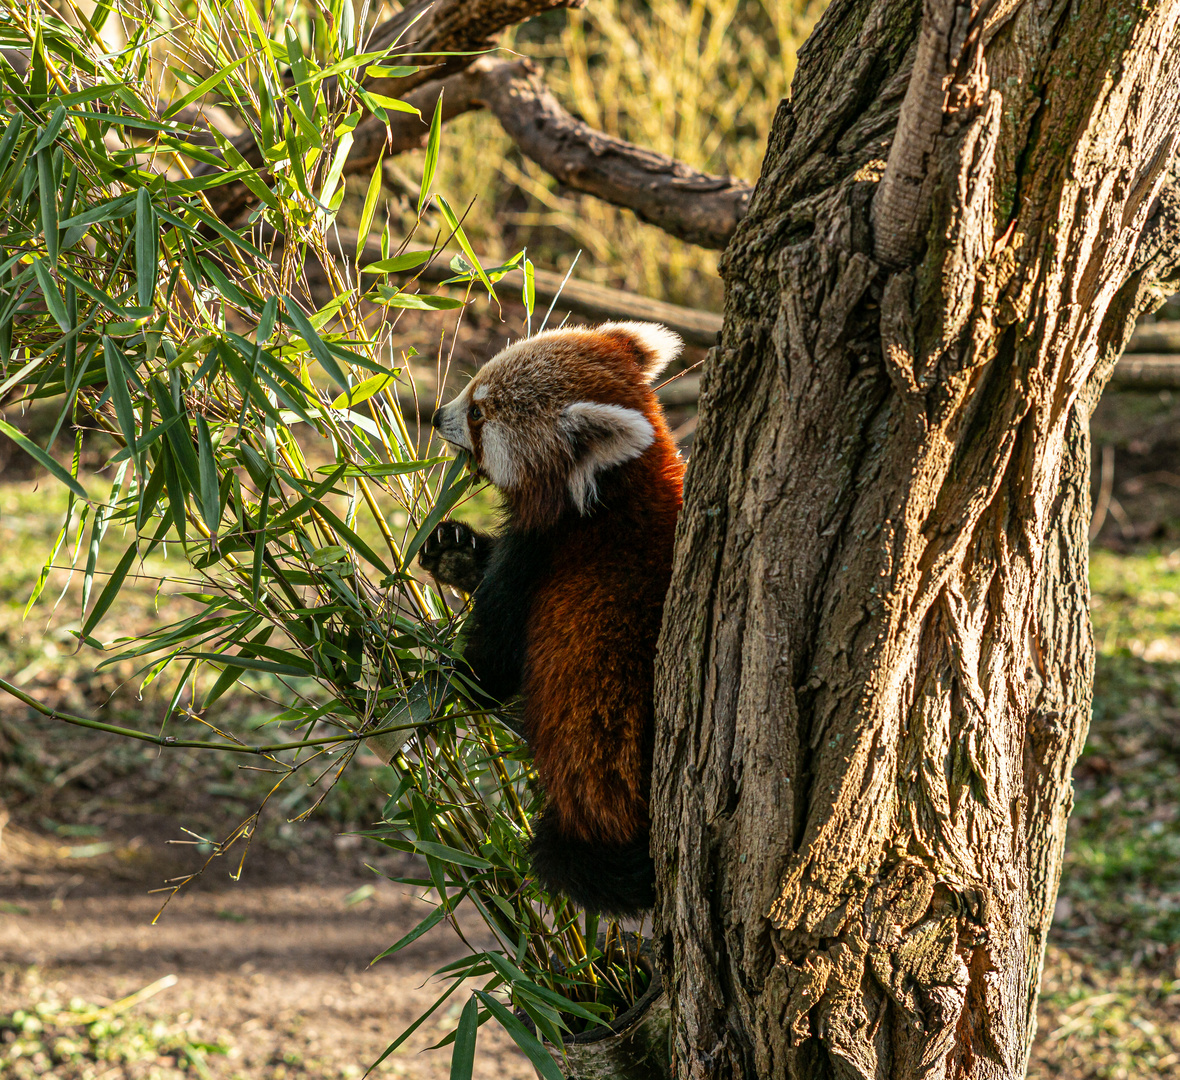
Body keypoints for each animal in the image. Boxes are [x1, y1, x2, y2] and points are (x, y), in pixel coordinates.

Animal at [422, 323, 684, 920]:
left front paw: (434, 679)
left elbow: (489, 669)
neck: (613, 488)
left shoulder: (542, 560)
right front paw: (455, 552)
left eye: (478, 413)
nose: (436, 416)